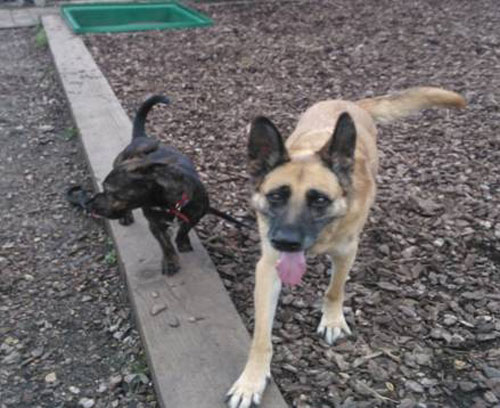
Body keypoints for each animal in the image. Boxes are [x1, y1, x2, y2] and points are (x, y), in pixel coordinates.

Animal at [226, 87, 464, 406]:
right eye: (276, 196)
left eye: (319, 200)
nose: (286, 241)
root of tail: (350, 103)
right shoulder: (268, 267)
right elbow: (261, 336)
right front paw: (251, 380)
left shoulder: (346, 252)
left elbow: (335, 290)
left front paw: (332, 320)